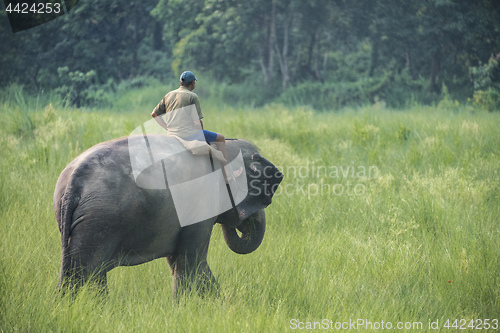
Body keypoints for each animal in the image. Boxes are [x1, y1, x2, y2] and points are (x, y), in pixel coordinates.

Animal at [53, 136, 286, 296]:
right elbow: (191, 262)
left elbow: (181, 261)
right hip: (101, 220)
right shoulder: (202, 203)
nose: (240, 220)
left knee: (82, 271)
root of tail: (74, 180)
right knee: (87, 271)